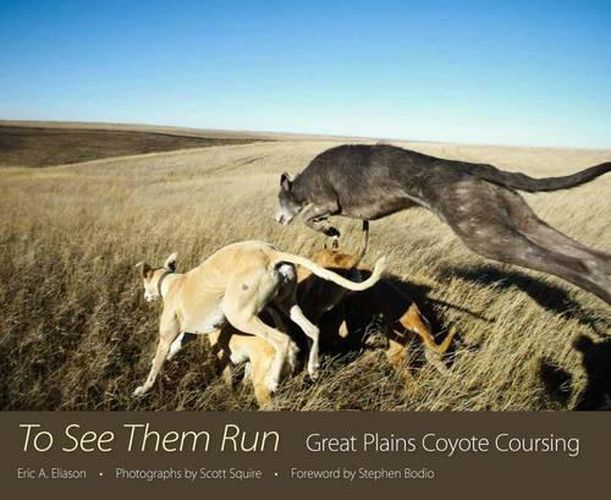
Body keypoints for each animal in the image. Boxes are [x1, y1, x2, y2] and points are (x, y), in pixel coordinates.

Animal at [133, 240, 388, 396]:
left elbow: (157, 362)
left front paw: (143, 389)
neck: (170, 282)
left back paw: (274, 380)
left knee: (282, 340)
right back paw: (313, 368)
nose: (145, 296)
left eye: (144, 283)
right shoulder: (189, 334)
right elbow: (175, 348)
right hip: (286, 304)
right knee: (312, 330)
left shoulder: (166, 336)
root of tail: (271, 253)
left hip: (241, 315)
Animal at [278, 143, 611, 302]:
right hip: (520, 218)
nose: (277, 218)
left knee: (578, 265)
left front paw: (327, 228)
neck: (302, 183)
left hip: (483, 233)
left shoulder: (327, 200)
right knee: (595, 257)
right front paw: (331, 232)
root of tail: (475, 168)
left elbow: (308, 216)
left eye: (279, 200)